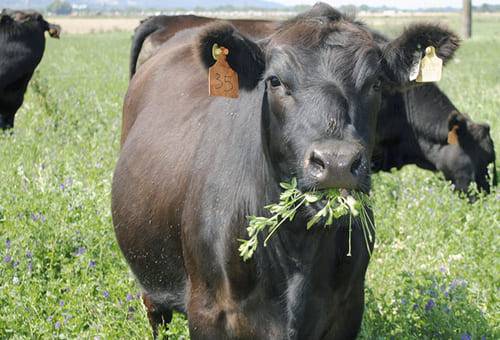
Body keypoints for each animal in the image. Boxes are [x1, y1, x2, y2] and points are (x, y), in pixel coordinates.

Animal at [112, 2, 458, 338]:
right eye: (275, 80)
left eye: (375, 83)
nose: (336, 163)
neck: (297, 248)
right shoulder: (208, 311)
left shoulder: (348, 309)